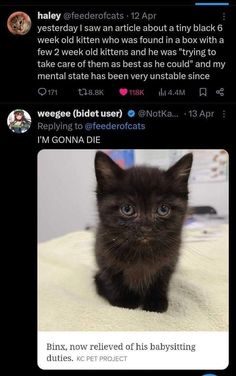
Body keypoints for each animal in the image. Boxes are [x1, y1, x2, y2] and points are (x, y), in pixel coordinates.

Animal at [93, 151, 193, 312]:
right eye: (127, 209)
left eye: (163, 209)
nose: (146, 228)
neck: (141, 252)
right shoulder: (103, 256)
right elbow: (112, 278)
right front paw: (125, 300)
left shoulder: (169, 261)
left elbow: (161, 280)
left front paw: (155, 301)